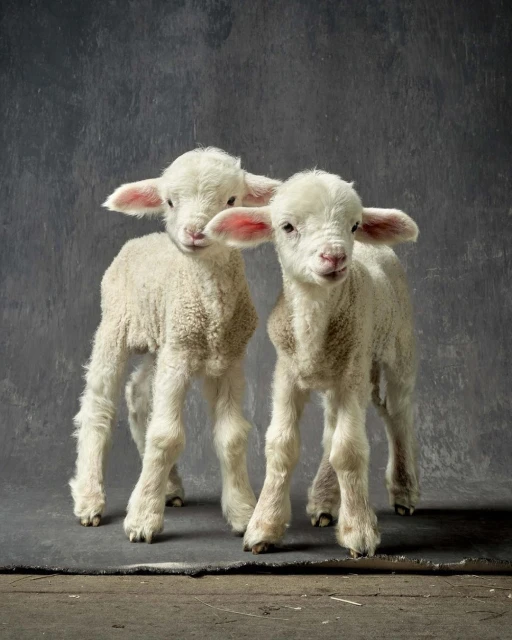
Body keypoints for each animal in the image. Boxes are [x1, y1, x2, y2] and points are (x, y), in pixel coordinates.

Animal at [70, 147, 280, 543]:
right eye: (169, 201)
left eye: (231, 200)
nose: (195, 232)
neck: (210, 310)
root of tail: (141, 240)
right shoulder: (179, 356)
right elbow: (166, 435)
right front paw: (142, 520)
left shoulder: (229, 359)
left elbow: (231, 436)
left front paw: (243, 512)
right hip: (115, 326)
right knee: (99, 404)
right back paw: (90, 499)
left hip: (160, 343)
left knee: (139, 396)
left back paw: (168, 487)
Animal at [205, 170, 420, 557]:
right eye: (287, 226)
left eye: (354, 225)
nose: (334, 256)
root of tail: (375, 248)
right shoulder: (287, 374)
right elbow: (282, 445)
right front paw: (264, 527)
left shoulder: (352, 373)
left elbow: (348, 451)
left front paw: (358, 531)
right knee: (332, 428)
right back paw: (323, 500)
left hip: (397, 348)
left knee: (397, 414)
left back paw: (404, 491)